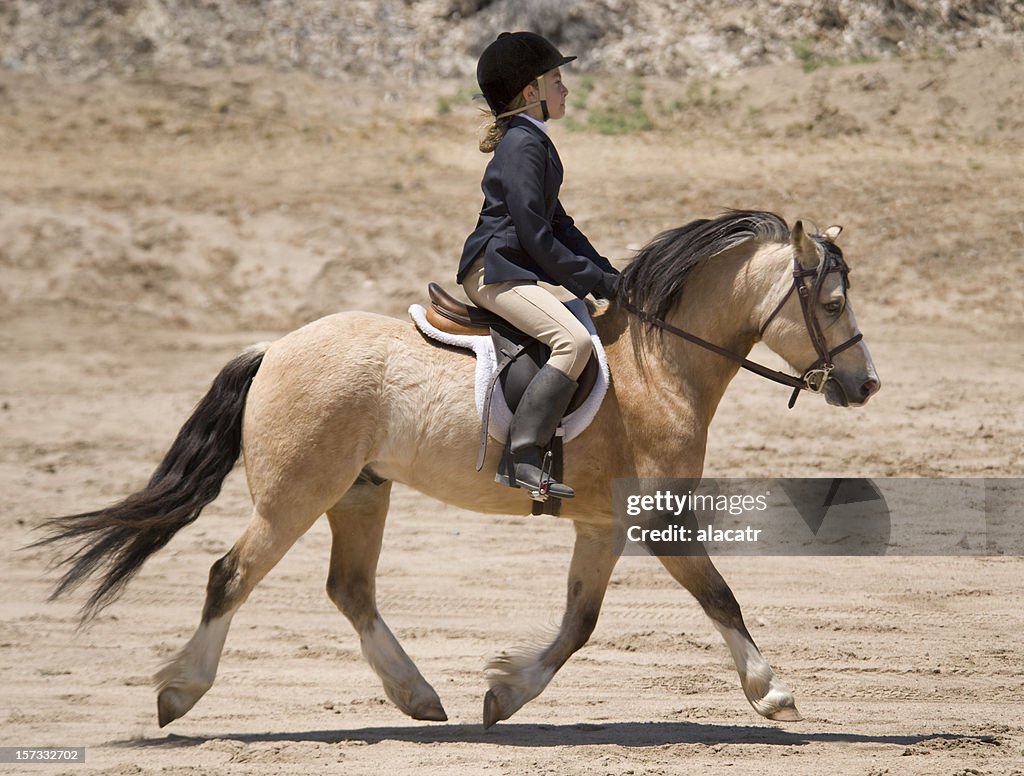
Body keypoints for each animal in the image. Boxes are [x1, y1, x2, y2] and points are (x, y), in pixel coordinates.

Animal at [34, 207, 880, 728]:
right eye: (833, 302)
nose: (866, 384)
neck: (657, 365)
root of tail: (275, 347)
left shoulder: (603, 525)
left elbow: (579, 623)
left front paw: (505, 694)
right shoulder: (658, 518)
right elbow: (721, 598)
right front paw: (773, 693)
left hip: (359, 494)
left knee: (350, 589)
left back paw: (417, 695)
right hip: (294, 497)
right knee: (230, 575)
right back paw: (180, 692)